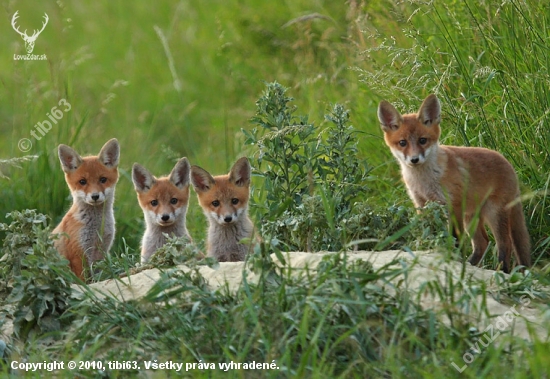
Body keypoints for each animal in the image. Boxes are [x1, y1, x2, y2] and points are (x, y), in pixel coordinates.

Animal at [52, 140, 121, 280]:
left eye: (103, 180)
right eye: (82, 181)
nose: (95, 196)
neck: (97, 227)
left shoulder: (102, 251)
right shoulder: (78, 253)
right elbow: (84, 281)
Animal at [380, 95, 532, 274]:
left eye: (423, 140)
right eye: (402, 143)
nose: (414, 159)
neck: (424, 181)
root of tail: (509, 164)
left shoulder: (454, 206)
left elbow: (455, 239)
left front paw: (453, 261)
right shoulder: (422, 204)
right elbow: (428, 233)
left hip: (493, 213)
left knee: (505, 244)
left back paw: (502, 271)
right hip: (471, 217)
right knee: (483, 243)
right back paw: (472, 264)